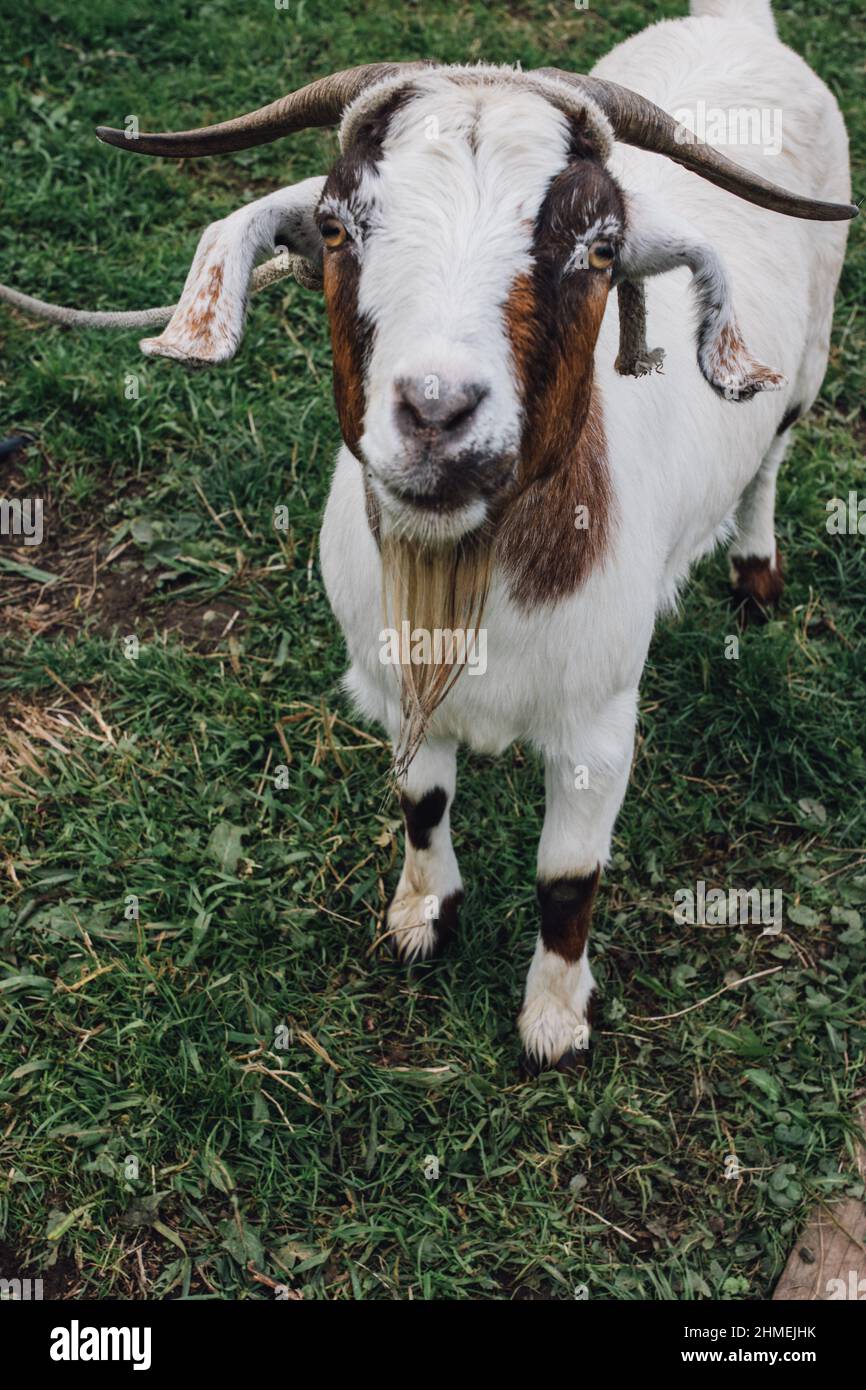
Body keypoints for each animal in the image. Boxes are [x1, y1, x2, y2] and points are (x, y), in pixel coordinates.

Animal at [0, 0, 856, 1073]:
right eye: (334, 226)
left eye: (601, 249)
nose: (439, 411)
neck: (470, 575)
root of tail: (740, 25)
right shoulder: (389, 676)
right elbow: (422, 803)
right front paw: (423, 917)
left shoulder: (599, 720)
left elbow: (568, 876)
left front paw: (554, 1020)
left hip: (808, 363)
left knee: (771, 457)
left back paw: (755, 573)